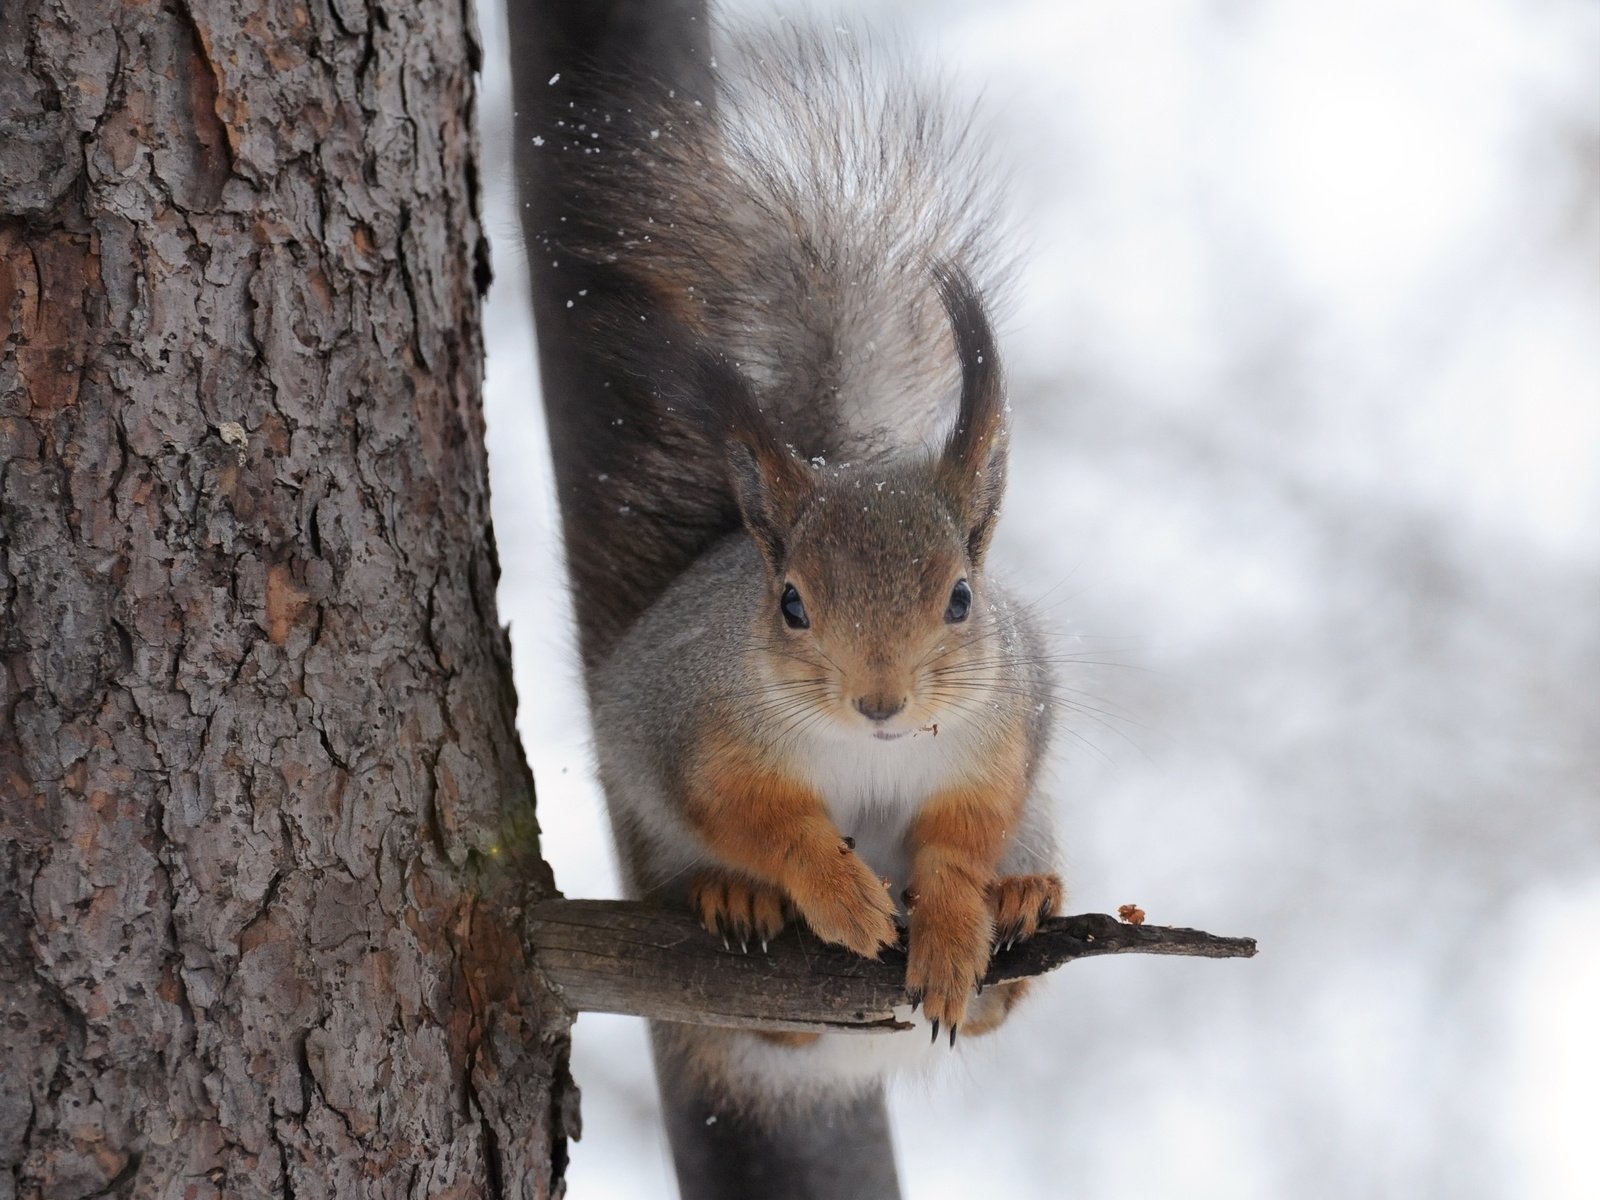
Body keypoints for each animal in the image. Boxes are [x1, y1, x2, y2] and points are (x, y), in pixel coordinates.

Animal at [534, 25, 1062, 1120]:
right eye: (790, 605)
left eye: (961, 597)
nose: (880, 702)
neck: (872, 750)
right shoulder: (698, 725)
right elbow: (758, 817)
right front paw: (834, 892)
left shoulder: (1003, 729)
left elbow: (964, 835)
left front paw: (956, 920)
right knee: (770, 1019)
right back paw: (734, 901)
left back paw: (1026, 901)